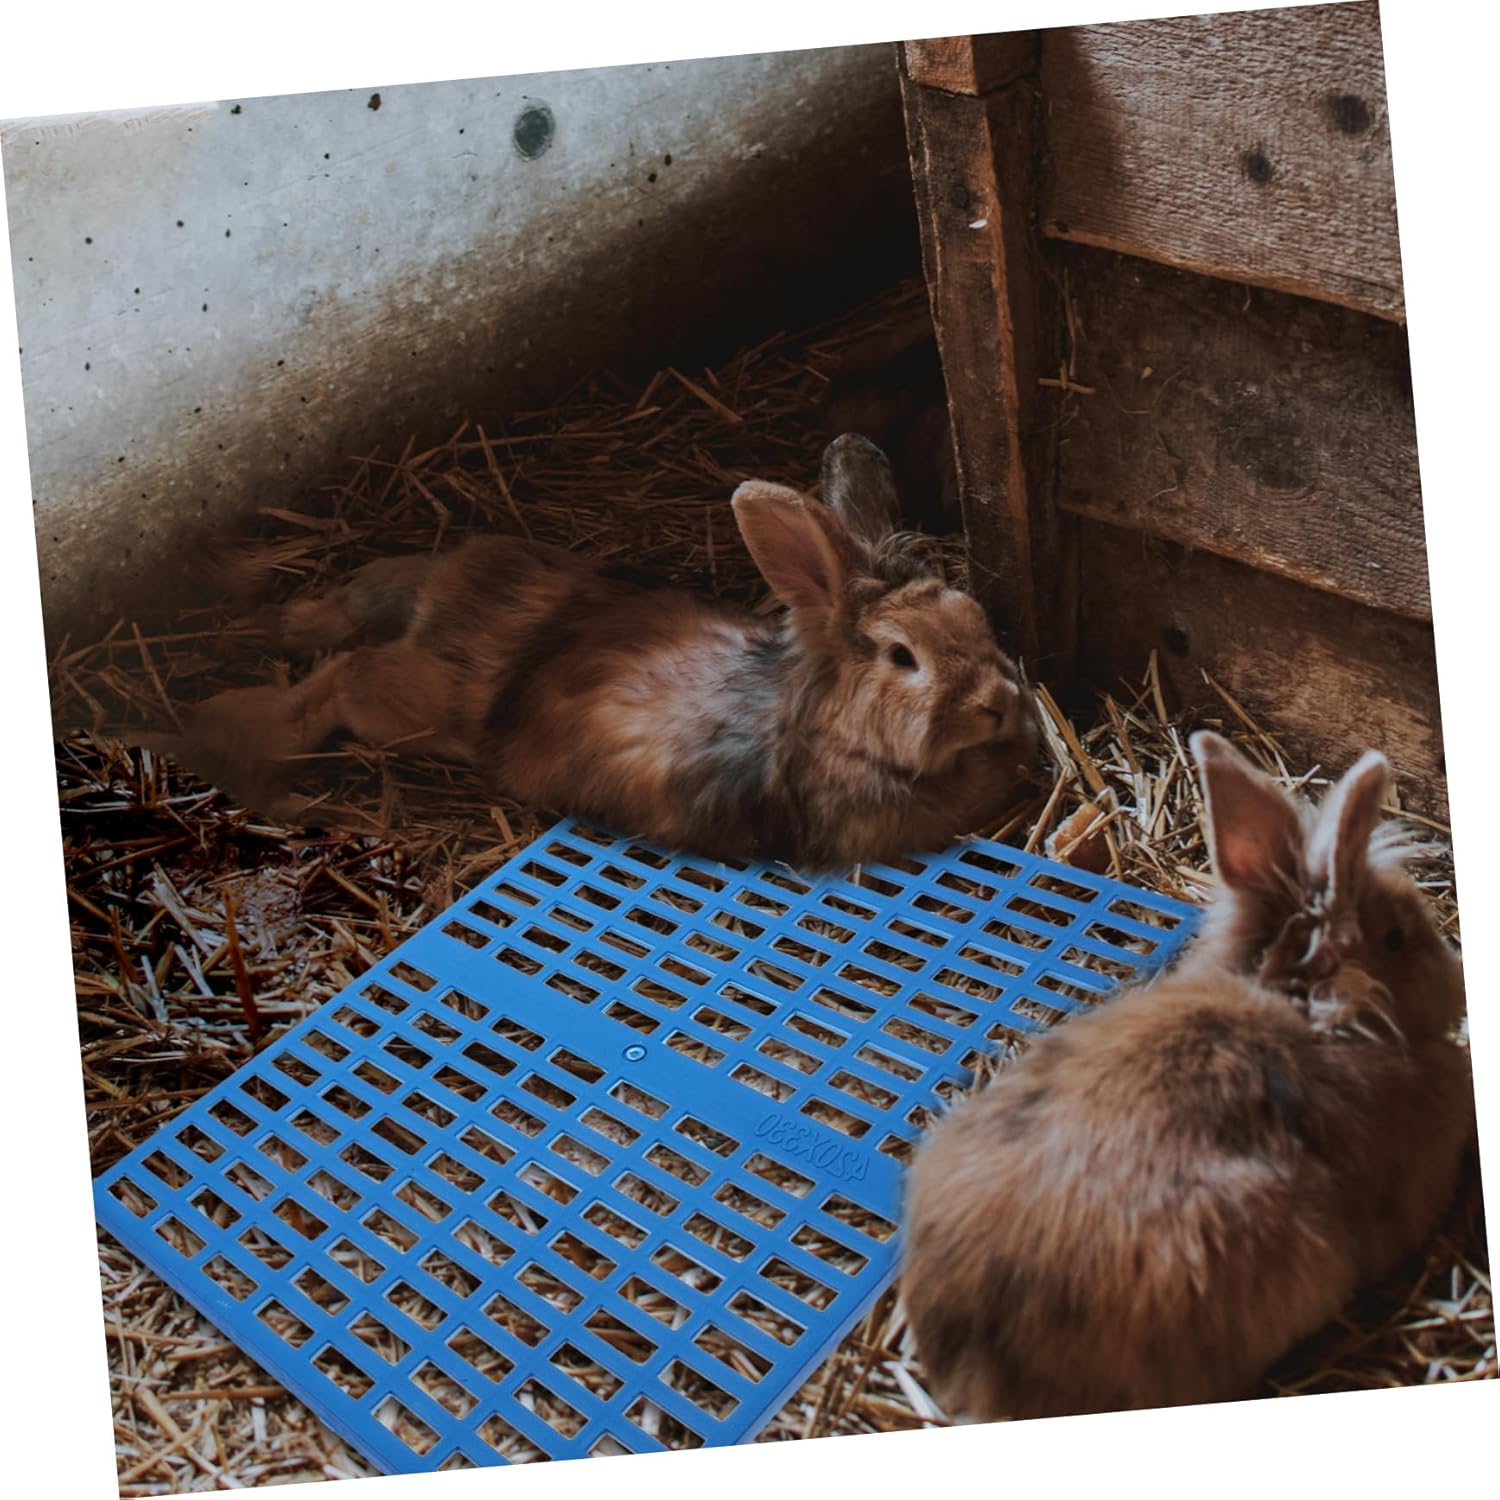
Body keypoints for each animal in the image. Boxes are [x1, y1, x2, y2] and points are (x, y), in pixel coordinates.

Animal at [165, 434, 1041, 870]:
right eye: (902, 658)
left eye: (973, 617)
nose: (999, 705)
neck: (829, 729)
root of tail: (452, 587)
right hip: (413, 707)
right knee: (347, 676)